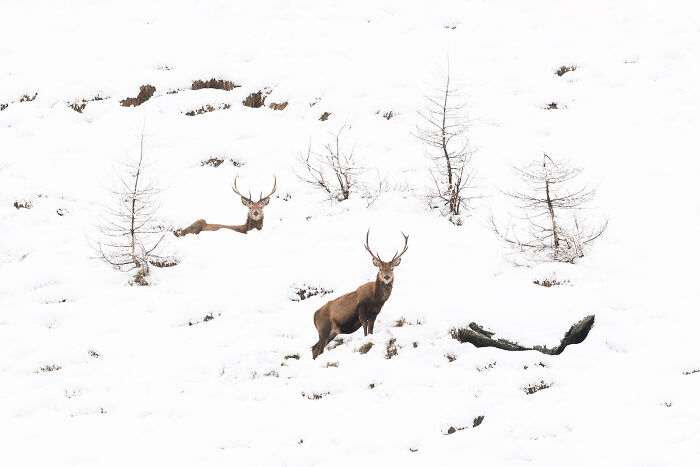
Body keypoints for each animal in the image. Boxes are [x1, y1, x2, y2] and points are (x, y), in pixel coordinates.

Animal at [311, 229, 409, 359]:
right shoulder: (360, 308)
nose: (387, 277)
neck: (376, 300)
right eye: (380, 269)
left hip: (331, 332)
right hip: (323, 329)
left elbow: (371, 328)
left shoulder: (374, 313)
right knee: (318, 348)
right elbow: (365, 327)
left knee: (314, 348)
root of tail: (314, 316)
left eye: (392, 269)